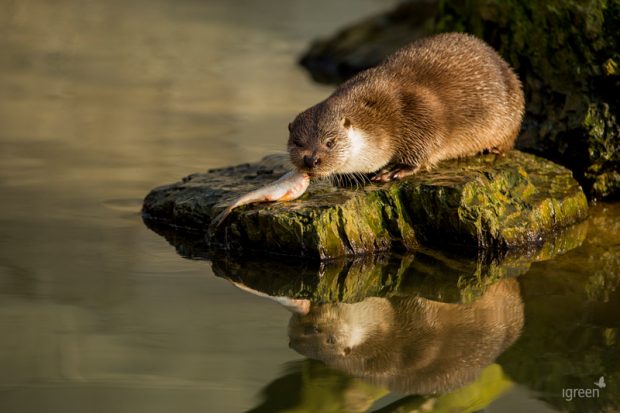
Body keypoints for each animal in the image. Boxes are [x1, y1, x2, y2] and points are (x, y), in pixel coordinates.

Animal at [286, 32, 524, 180]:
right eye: (297, 143)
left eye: (330, 142)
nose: (311, 159)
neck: (380, 117)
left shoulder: (420, 112)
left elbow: (429, 143)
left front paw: (396, 169)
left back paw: (492, 149)